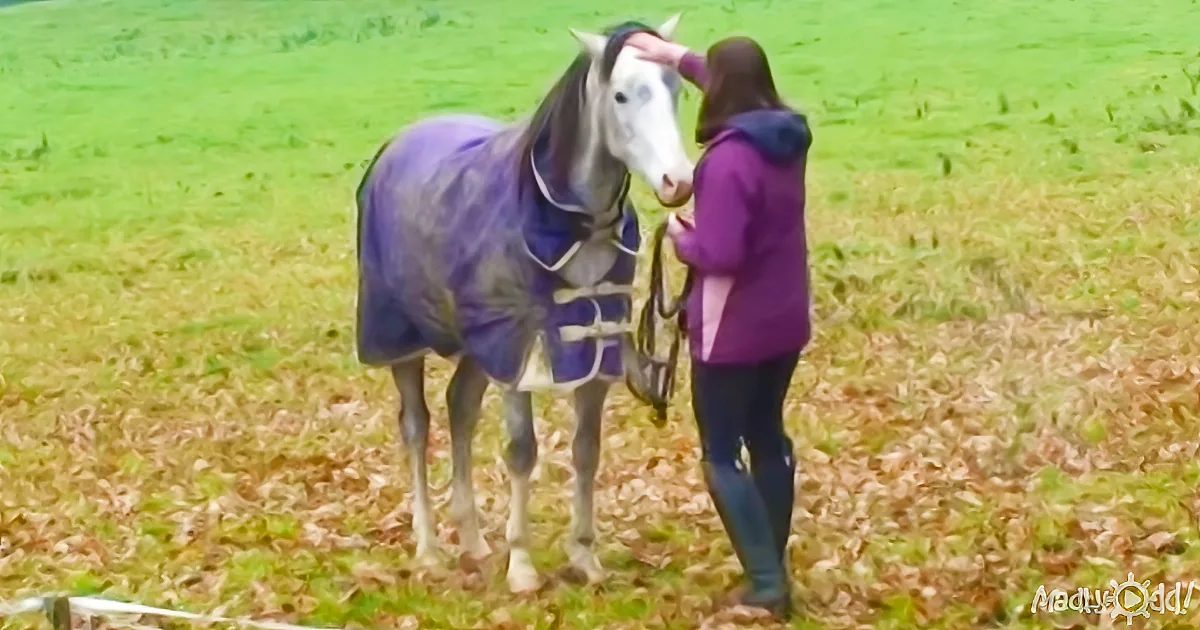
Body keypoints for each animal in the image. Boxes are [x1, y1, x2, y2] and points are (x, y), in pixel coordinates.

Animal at [354, 16, 694, 593]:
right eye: (621, 94)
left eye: (676, 88)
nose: (679, 182)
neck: (569, 226)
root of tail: (398, 144)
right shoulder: (519, 355)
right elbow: (521, 452)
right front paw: (523, 566)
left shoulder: (593, 358)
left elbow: (586, 451)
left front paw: (584, 556)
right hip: (405, 342)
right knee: (416, 426)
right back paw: (430, 548)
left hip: (475, 345)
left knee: (460, 410)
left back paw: (472, 540)